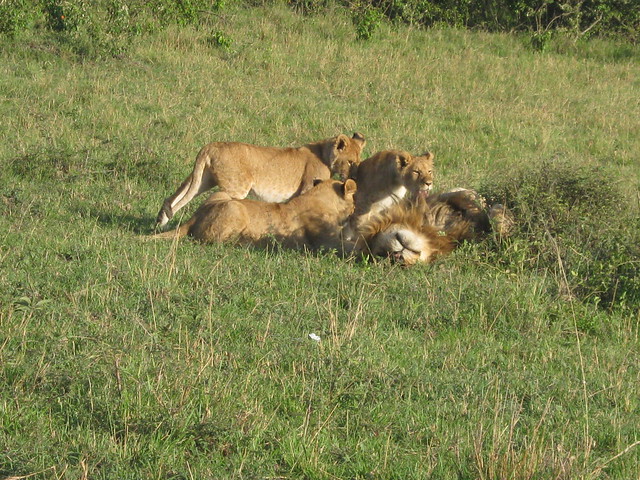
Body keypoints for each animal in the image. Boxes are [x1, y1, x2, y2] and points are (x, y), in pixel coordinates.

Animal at [152, 178, 358, 249]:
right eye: (354, 204)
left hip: (222, 195)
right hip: (236, 208)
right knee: (216, 241)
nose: (355, 212)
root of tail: (193, 218)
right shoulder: (325, 242)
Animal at [156, 132, 364, 228]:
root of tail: (211, 145)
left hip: (203, 180)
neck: (324, 153)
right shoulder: (308, 188)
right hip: (237, 188)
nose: (354, 177)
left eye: (358, 161)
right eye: (350, 162)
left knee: (178, 196)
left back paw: (161, 221)